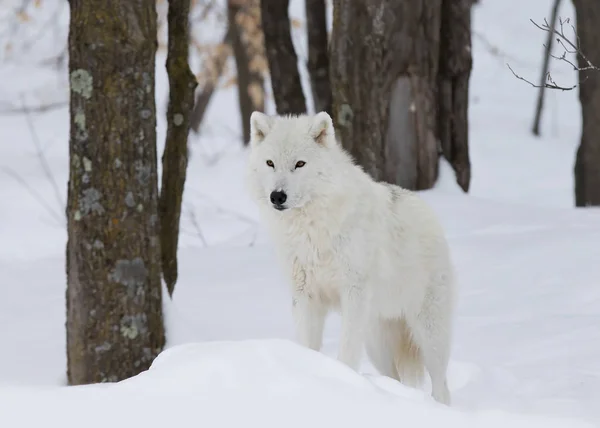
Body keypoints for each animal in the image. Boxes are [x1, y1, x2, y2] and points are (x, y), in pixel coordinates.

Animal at [246, 110, 458, 404]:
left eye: (299, 164)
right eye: (270, 163)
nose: (277, 196)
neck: (311, 228)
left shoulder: (353, 293)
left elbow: (346, 351)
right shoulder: (305, 296)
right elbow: (307, 344)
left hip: (428, 333)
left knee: (441, 385)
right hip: (377, 343)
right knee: (394, 377)